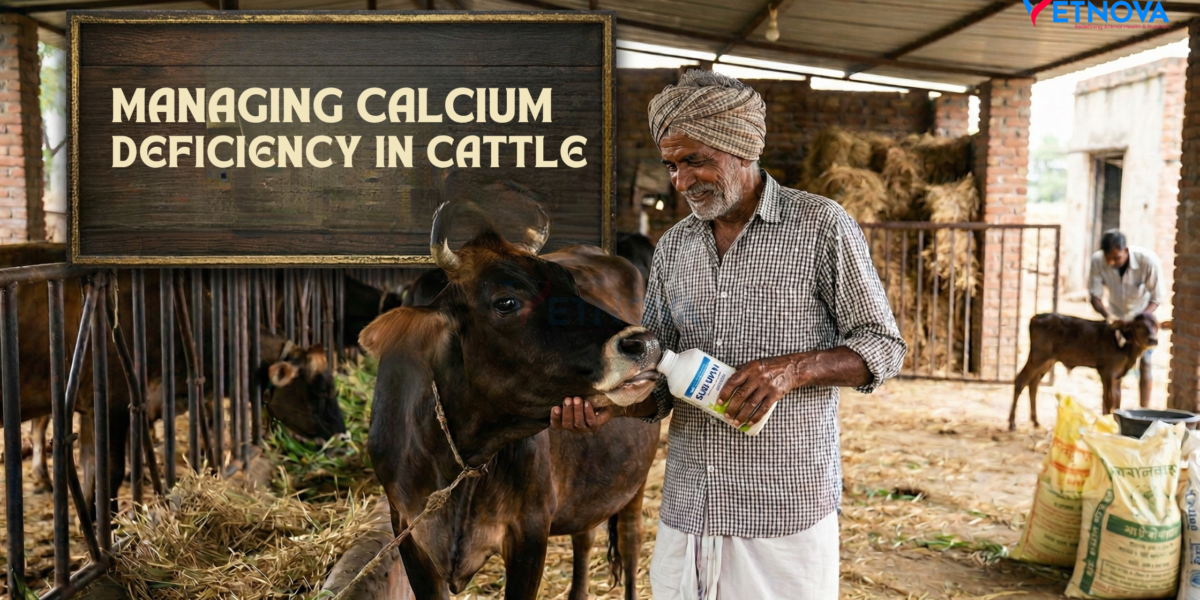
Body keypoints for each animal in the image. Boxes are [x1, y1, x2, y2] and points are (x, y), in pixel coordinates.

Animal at [360, 227, 661, 600]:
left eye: (572, 287)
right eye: (505, 302)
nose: (643, 343)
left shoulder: (530, 530)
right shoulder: (407, 530)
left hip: (637, 476)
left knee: (632, 541)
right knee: (585, 534)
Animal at [1010, 312, 1159, 431]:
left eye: (1157, 325)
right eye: (1138, 325)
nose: (1153, 340)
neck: (1126, 349)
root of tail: (1035, 317)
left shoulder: (1117, 375)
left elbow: (1115, 400)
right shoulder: (1108, 371)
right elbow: (1109, 399)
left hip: (1048, 360)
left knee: (1033, 383)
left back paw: (1035, 421)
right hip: (1038, 356)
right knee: (1020, 380)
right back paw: (1012, 423)